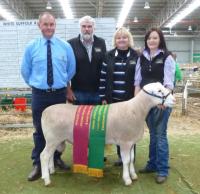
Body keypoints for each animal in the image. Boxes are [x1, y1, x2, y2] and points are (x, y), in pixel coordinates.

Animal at [39, 82, 174, 186]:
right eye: (159, 91)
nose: (174, 100)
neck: (136, 110)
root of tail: (45, 112)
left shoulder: (131, 142)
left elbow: (131, 159)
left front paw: (133, 175)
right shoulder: (125, 142)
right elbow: (126, 161)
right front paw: (127, 179)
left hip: (54, 140)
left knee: (50, 155)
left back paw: (51, 171)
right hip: (52, 139)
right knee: (44, 156)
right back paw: (46, 179)